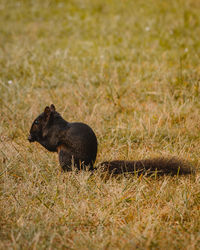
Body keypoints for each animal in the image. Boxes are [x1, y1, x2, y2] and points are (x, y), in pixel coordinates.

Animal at [28, 104, 194, 175]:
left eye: (36, 122)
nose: (28, 134)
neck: (54, 124)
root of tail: (89, 168)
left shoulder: (55, 135)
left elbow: (49, 145)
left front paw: (34, 138)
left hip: (65, 155)